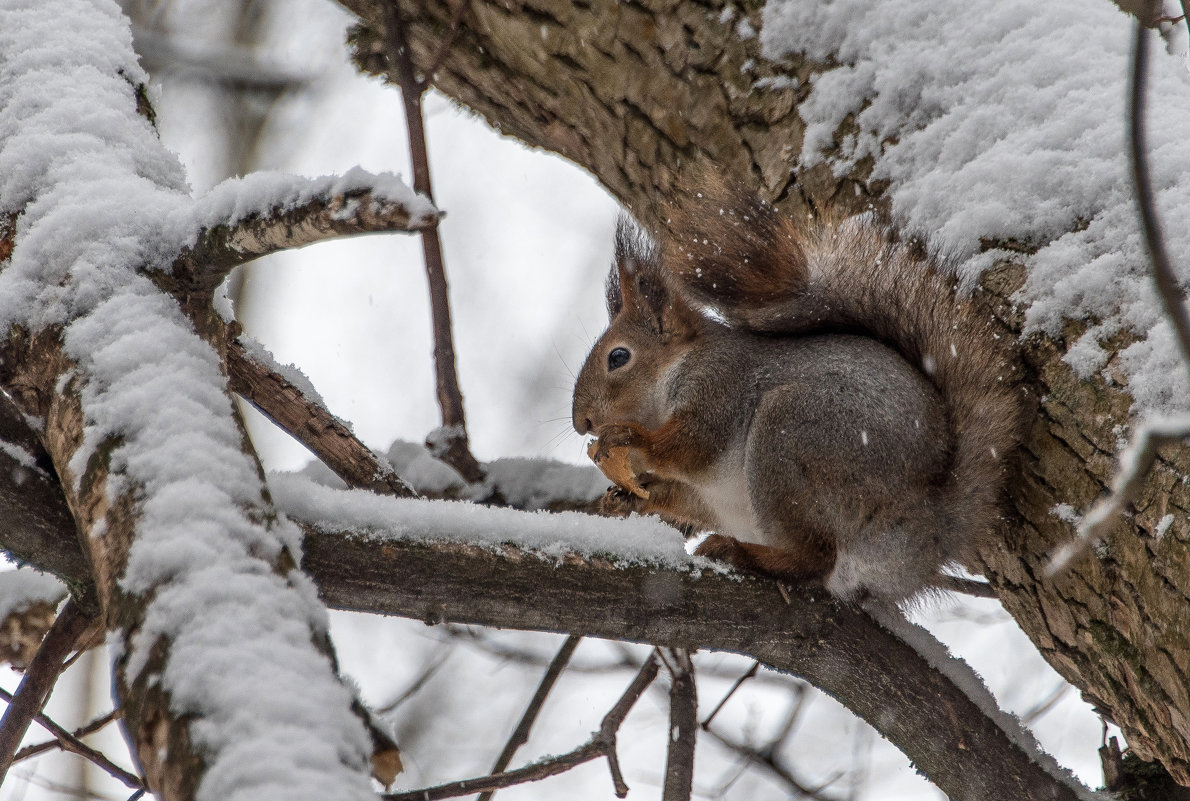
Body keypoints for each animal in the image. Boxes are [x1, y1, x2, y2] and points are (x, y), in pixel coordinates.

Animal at [571, 176, 1018, 599]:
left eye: (618, 357)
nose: (582, 423)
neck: (670, 381)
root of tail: (930, 529)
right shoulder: (706, 495)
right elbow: (679, 494)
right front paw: (626, 496)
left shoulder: (720, 387)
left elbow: (691, 445)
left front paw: (629, 437)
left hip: (792, 437)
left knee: (814, 559)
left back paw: (739, 552)